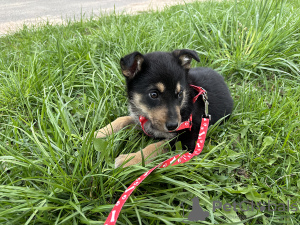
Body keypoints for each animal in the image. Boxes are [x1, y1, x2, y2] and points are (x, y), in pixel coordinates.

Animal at [95, 50, 233, 168]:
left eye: (179, 94)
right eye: (153, 94)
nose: (173, 126)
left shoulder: (188, 138)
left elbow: (157, 146)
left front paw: (130, 159)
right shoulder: (142, 120)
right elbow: (122, 119)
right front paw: (99, 133)